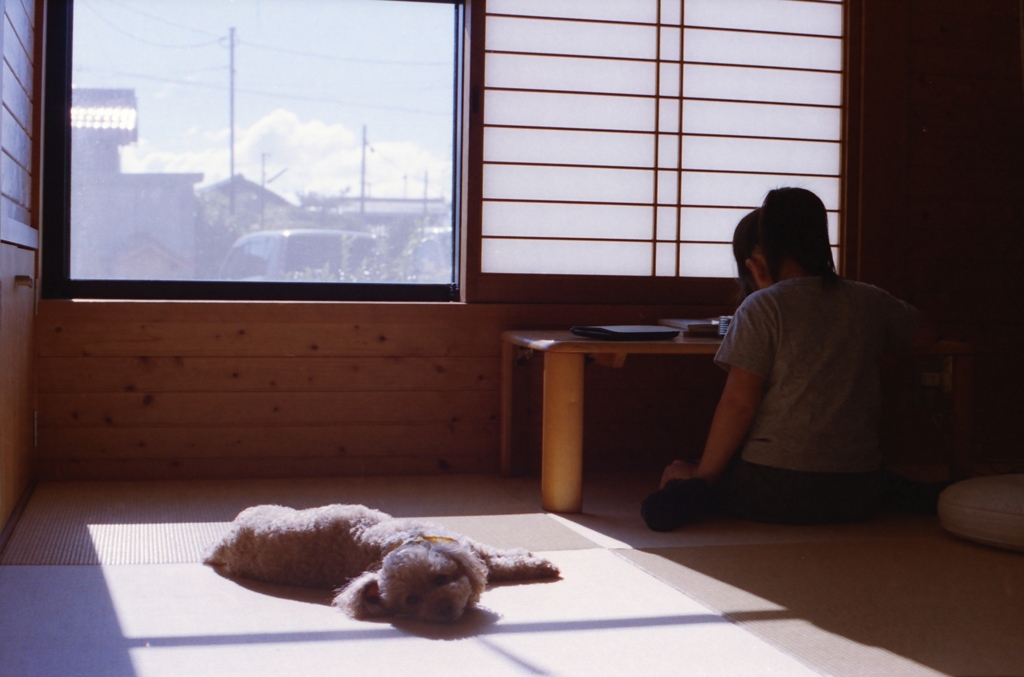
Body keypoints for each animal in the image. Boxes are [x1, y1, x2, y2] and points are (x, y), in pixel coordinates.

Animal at [205, 501, 561, 622]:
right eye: (412, 600)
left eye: (440, 579)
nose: (445, 612)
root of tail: (226, 539)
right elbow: (501, 564)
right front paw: (535, 563)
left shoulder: (468, 548)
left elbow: (495, 559)